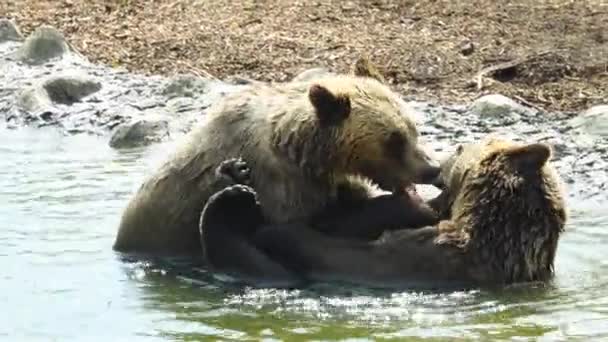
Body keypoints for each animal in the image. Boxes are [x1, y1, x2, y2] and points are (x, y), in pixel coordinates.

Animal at [113, 58, 442, 256]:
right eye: (394, 139)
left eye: (413, 128)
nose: (432, 168)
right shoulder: (277, 182)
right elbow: (309, 227)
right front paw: (407, 207)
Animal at [202, 135, 568, 288]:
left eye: (460, 146)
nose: (437, 166)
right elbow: (354, 215)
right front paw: (237, 170)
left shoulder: (417, 257)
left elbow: (329, 247)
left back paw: (230, 203)